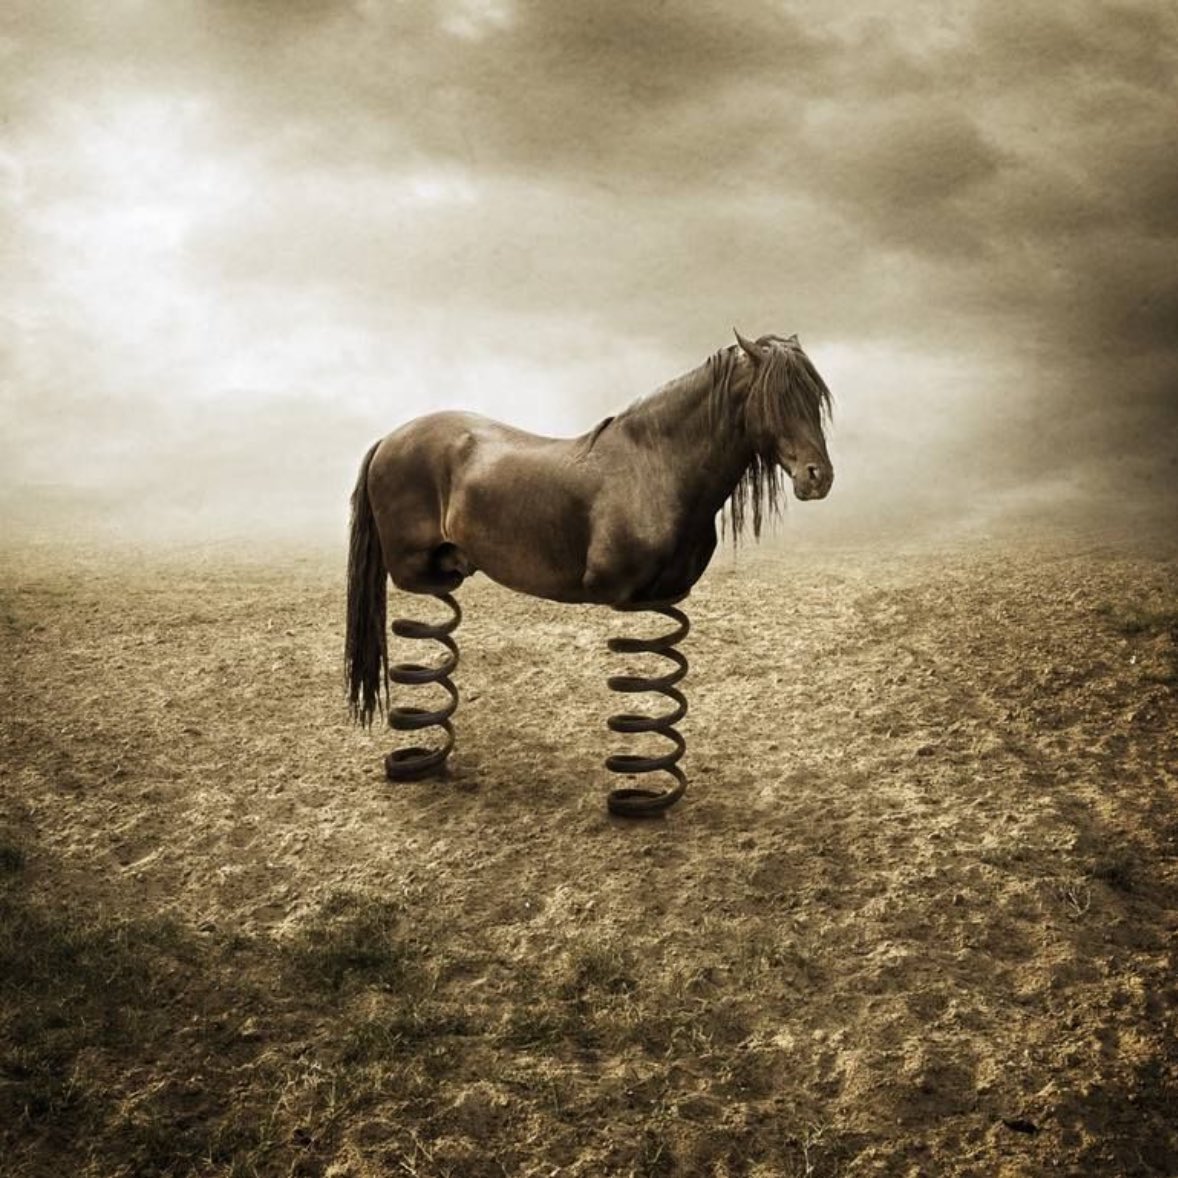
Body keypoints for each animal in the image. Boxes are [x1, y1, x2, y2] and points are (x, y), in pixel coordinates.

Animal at [345, 329, 834, 815]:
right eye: (776, 399)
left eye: (816, 399)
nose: (819, 476)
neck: (658, 468)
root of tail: (387, 439)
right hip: (416, 570)